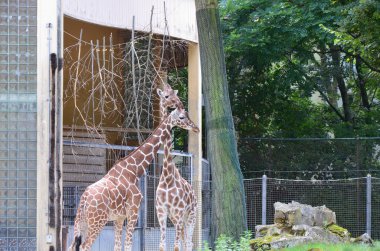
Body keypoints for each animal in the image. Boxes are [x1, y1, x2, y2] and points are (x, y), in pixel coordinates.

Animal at [68, 107, 199, 251]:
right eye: (182, 117)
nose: (196, 128)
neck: (134, 169)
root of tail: (84, 199)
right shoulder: (133, 212)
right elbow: (128, 245)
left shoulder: (119, 218)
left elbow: (118, 246)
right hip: (97, 221)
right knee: (85, 246)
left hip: (81, 222)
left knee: (72, 246)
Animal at [155, 84, 197, 251]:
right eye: (166, 96)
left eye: (175, 94)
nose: (196, 128)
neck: (167, 177)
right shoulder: (162, 212)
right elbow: (162, 246)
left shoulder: (179, 212)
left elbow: (176, 247)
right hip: (176, 218)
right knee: (186, 241)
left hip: (190, 215)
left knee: (189, 243)